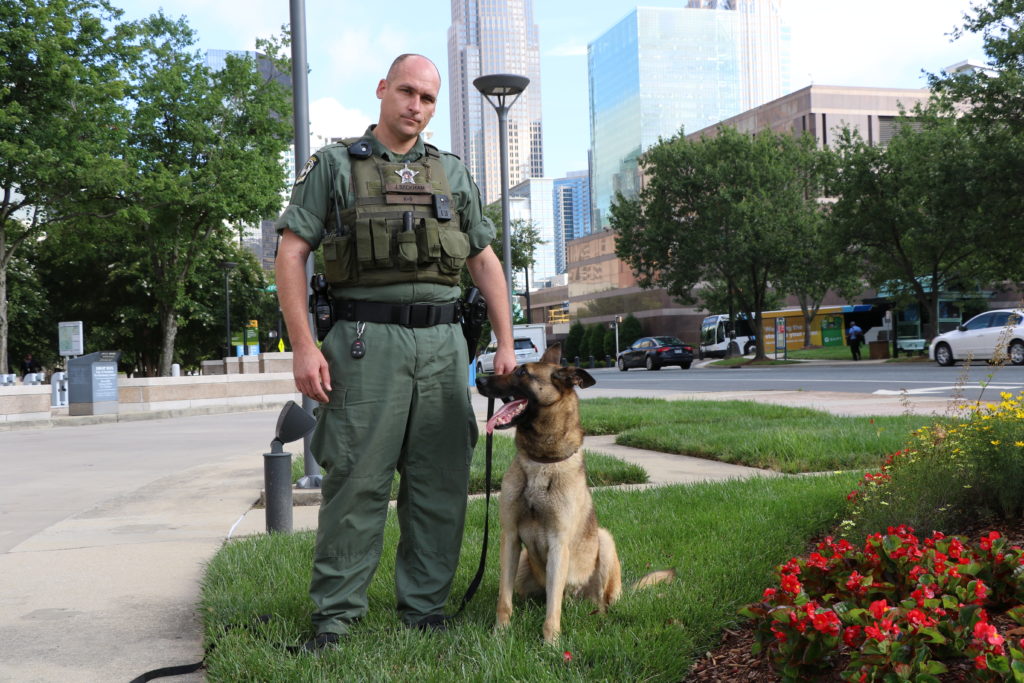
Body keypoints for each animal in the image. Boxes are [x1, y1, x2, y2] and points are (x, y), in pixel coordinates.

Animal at [477, 344, 675, 643]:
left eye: (522, 372)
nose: (478, 379)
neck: (541, 461)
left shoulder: (559, 544)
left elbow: (553, 607)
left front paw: (550, 643)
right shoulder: (509, 538)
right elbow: (504, 598)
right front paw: (500, 634)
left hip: (604, 541)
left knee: (601, 601)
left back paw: (601, 617)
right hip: (524, 565)